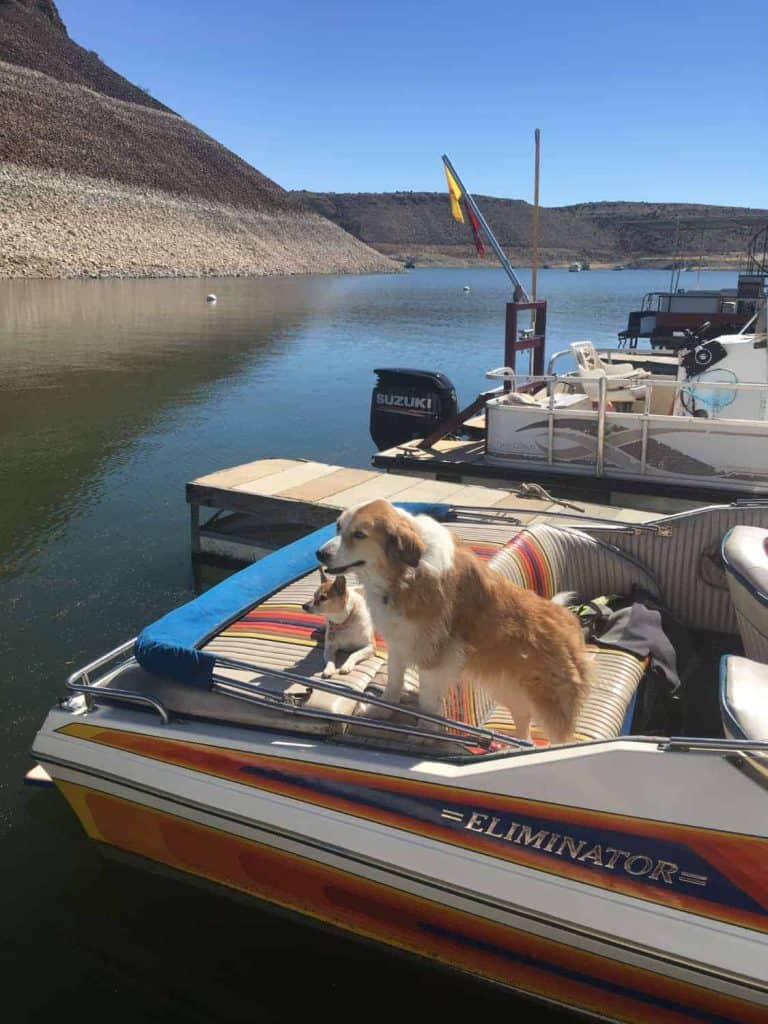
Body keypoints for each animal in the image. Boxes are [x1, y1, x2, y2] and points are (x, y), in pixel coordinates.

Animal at [315, 499, 593, 741]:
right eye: (338, 526)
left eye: (359, 534)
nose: (319, 553)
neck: (404, 573)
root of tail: (572, 623)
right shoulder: (399, 644)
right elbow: (393, 685)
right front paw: (381, 712)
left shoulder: (431, 656)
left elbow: (427, 703)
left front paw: (424, 733)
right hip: (511, 694)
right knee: (524, 727)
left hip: (551, 710)